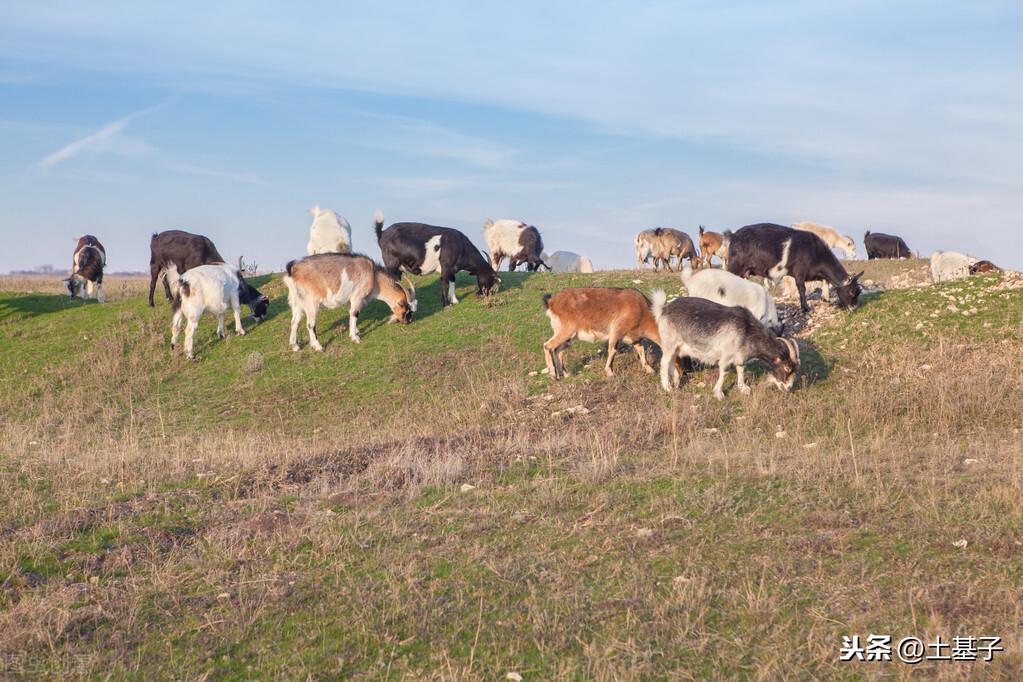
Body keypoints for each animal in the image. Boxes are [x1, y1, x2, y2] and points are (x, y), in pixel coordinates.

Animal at [282, 252, 413, 351]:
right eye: (405, 308)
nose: (409, 321)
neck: (374, 276)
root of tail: (293, 270)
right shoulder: (357, 296)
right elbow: (355, 314)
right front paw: (355, 337)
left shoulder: (350, 300)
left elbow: (351, 313)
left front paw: (356, 331)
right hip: (311, 303)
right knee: (310, 325)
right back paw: (317, 346)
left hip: (297, 303)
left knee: (294, 322)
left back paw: (295, 346)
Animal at [650, 290, 802, 400]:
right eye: (787, 368)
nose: (788, 388)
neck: (747, 330)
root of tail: (663, 309)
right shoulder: (726, 356)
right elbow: (724, 373)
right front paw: (719, 393)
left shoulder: (740, 356)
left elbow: (741, 369)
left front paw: (743, 388)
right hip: (669, 344)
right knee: (664, 363)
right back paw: (667, 387)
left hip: (677, 347)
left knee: (672, 362)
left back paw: (675, 383)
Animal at [728, 221, 863, 312]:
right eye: (851, 292)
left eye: (858, 292)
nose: (854, 309)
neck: (816, 252)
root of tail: (733, 236)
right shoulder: (799, 272)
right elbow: (802, 288)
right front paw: (805, 308)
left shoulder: (814, 273)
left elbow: (825, 281)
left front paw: (825, 298)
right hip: (735, 267)